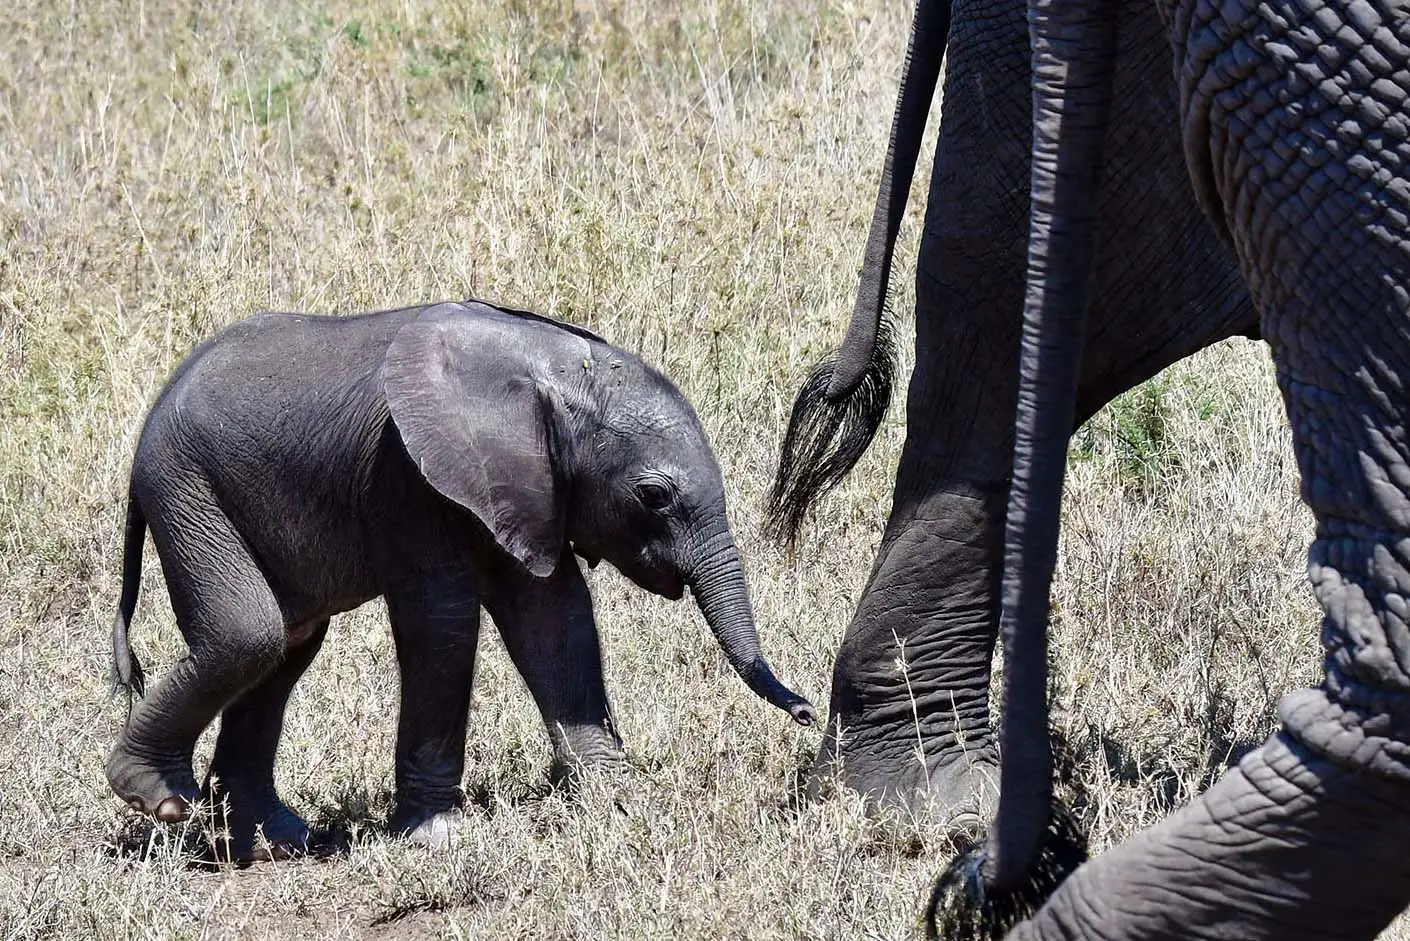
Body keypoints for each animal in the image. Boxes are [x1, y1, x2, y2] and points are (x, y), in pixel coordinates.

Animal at [107, 300, 817, 863]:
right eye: (655, 496)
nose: (807, 713)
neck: (554, 370)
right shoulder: (410, 475)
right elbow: (443, 622)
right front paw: (439, 837)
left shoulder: (527, 487)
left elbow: (554, 618)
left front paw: (616, 800)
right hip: (187, 490)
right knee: (248, 635)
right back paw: (157, 798)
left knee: (288, 644)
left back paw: (273, 843)